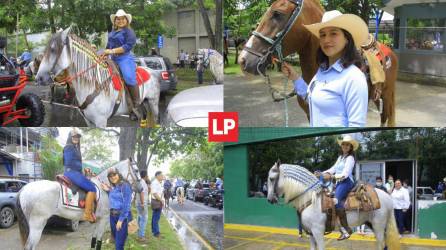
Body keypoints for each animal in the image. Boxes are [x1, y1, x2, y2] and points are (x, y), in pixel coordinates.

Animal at [264, 161, 400, 249]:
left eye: (271, 178)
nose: (270, 199)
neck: (311, 200)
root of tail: (388, 197)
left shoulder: (318, 232)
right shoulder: (311, 234)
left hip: (378, 226)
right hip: (372, 224)